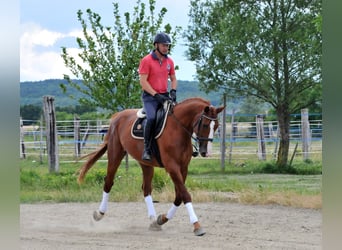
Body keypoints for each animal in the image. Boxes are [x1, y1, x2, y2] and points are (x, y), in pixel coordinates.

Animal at [77, 96, 224, 235]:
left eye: (216, 126)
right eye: (205, 125)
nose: (206, 152)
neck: (178, 129)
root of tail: (117, 117)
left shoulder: (183, 168)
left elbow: (179, 196)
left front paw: (161, 219)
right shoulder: (172, 167)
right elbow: (185, 195)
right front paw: (197, 225)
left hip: (145, 164)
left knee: (146, 189)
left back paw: (153, 221)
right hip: (115, 154)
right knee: (108, 182)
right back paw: (99, 214)